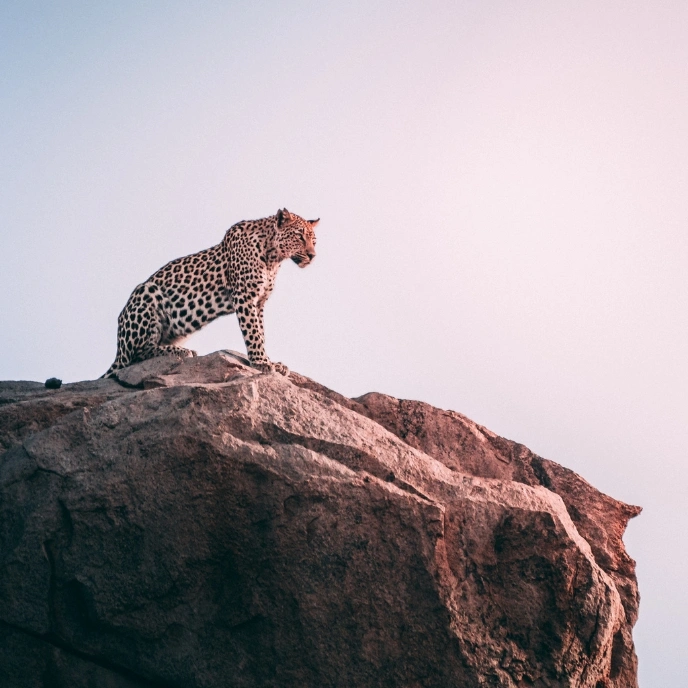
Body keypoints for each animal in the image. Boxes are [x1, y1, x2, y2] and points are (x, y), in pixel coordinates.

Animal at [102, 209, 319, 378]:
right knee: (137, 355)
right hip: (146, 293)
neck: (273, 258)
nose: (312, 256)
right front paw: (261, 363)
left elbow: (261, 332)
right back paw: (180, 351)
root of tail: (118, 349)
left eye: (314, 241)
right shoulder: (245, 297)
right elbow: (253, 333)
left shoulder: (259, 302)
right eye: (299, 236)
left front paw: (270, 361)